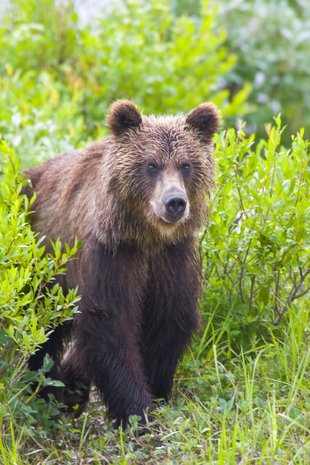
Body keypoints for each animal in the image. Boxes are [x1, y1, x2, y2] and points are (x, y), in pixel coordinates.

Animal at [25, 100, 220, 428]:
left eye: (186, 165)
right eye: (151, 165)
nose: (175, 202)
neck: (147, 236)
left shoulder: (170, 258)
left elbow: (169, 321)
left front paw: (156, 395)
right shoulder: (111, 254)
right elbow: (109, 324)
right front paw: (137, 411)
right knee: (40, 328)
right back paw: (46, 390)